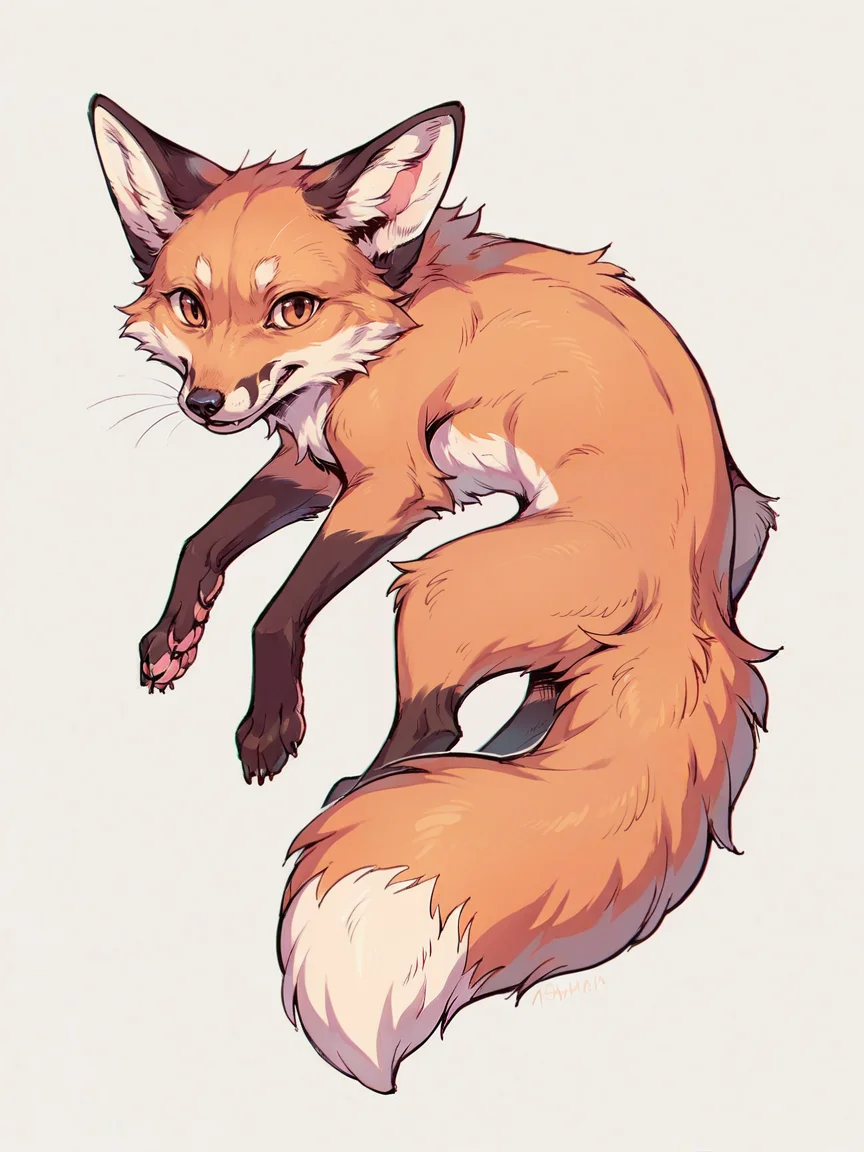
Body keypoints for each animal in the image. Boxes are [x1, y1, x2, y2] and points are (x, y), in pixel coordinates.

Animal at [89, 94, 778, 1093]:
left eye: (291, 308)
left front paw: (271, 728)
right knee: (513, 721)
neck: (380, 334)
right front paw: (174, 639)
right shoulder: (314, 465)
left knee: (433, 729)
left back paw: (358, 794)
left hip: (435, 587)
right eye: (190, 305)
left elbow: (276, 612)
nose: (208, 405)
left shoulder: (392, 489)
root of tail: (702, 610)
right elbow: (202, 540)